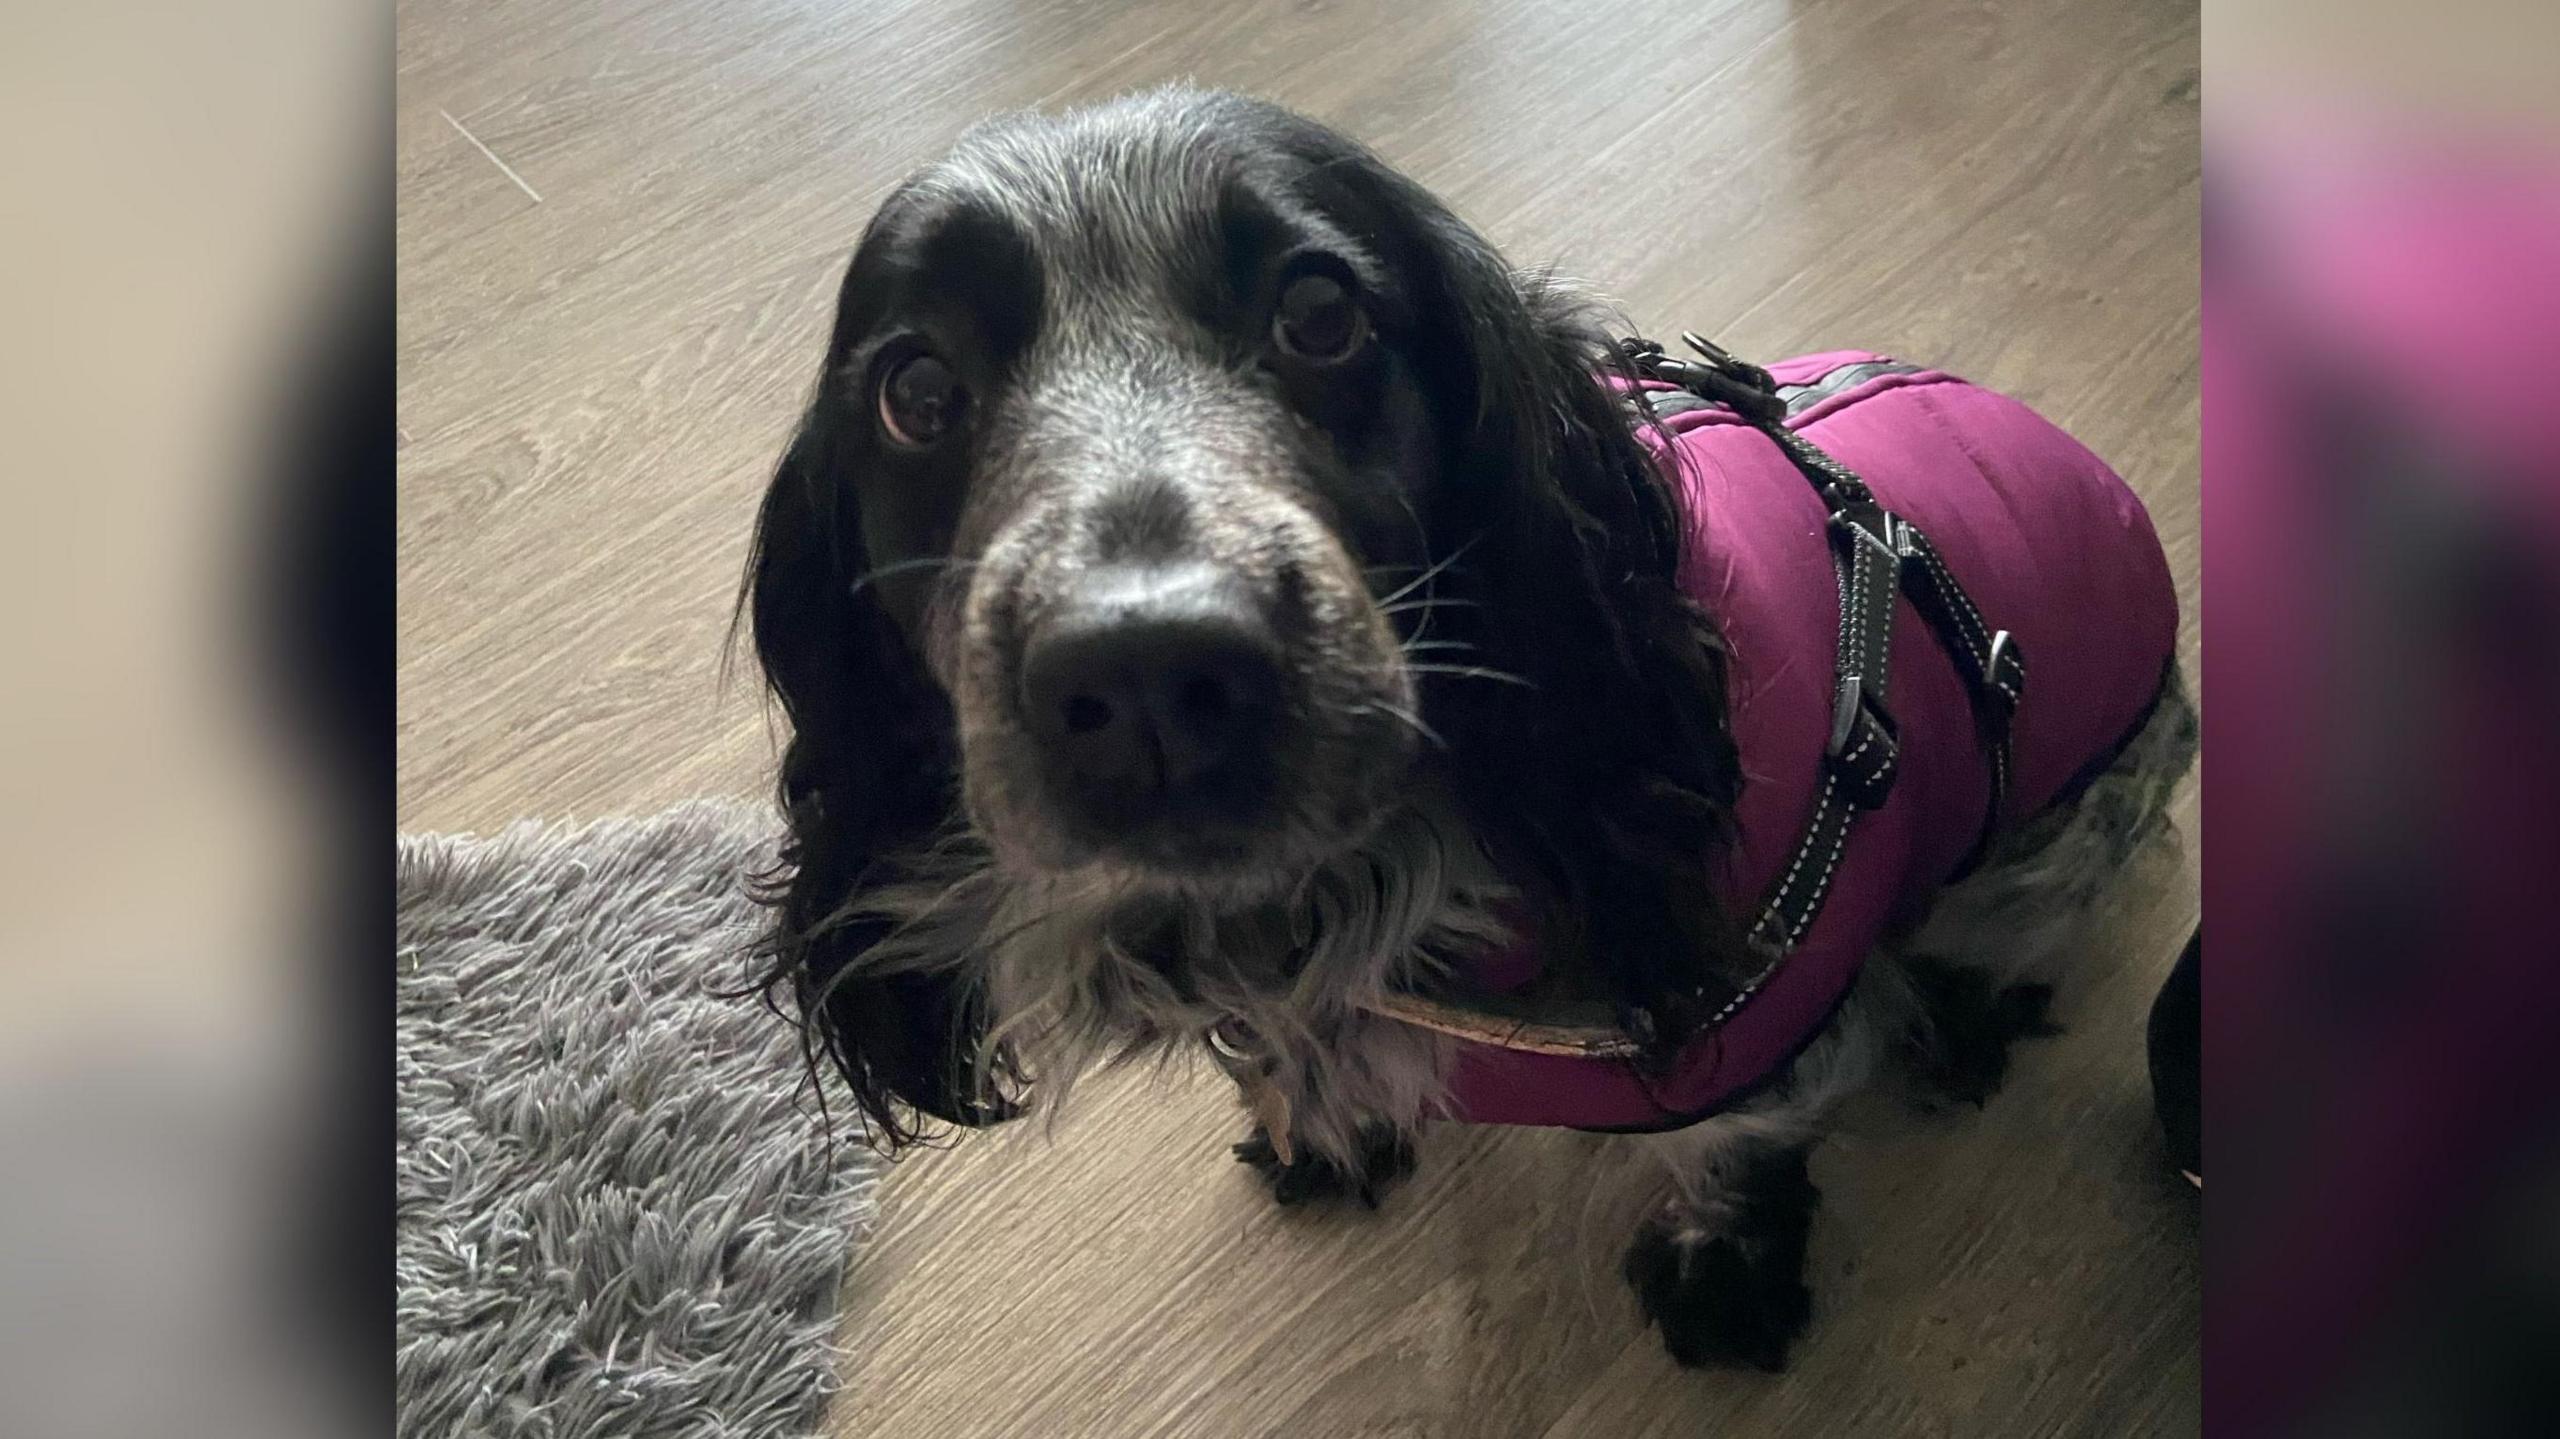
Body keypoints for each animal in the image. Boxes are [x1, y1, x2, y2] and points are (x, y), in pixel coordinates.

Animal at [747, 89, 2201, 1362]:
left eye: (1319, 312)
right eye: (915, 389)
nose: (1149, 674)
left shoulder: (1762, 1016)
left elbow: (1731, 1146)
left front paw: (1727, 1272)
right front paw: (1317, 1128)